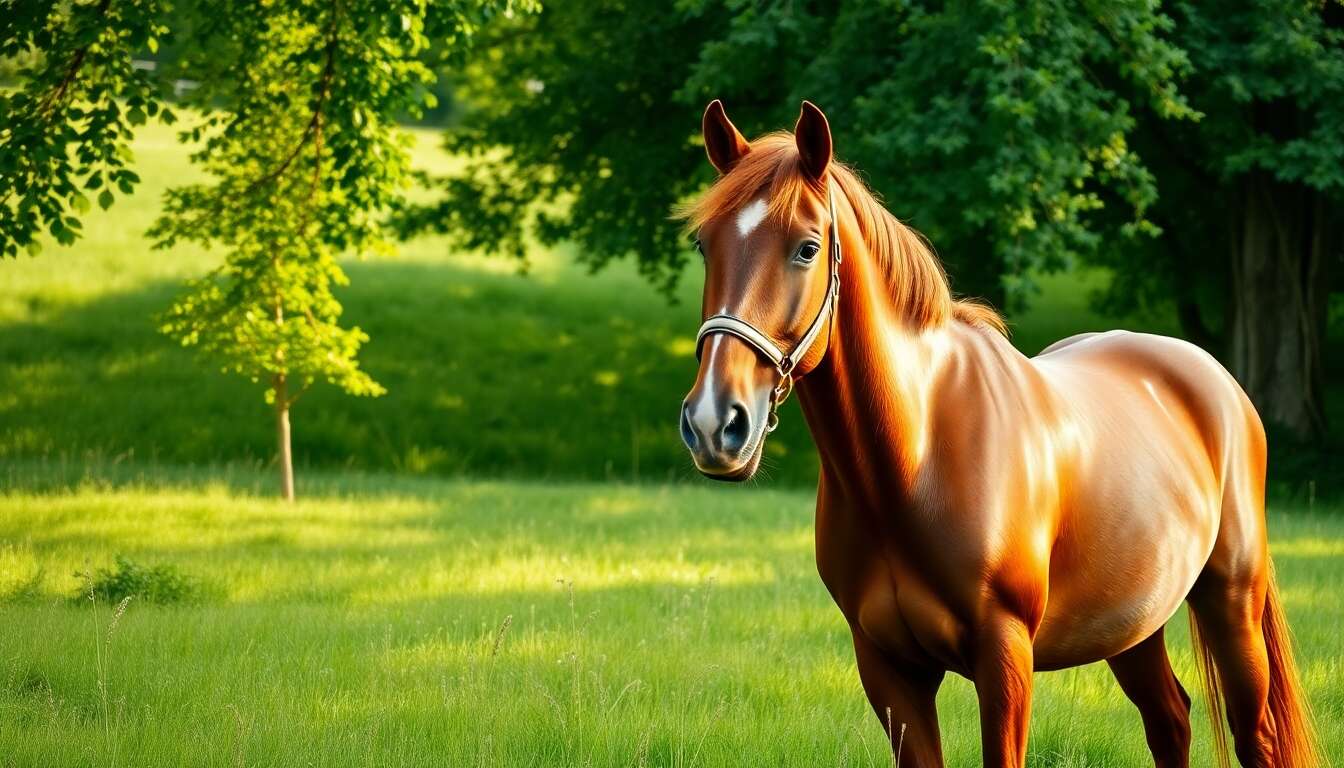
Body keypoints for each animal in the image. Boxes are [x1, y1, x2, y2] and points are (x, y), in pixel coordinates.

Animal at [676, 100, 1317, 768]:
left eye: (806, 248)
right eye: (704, 244)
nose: (715, 421)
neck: (917, 455)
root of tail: (1215, 380)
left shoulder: (1004, 655)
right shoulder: (888, 670)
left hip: (1232, 603)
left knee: (1255, 736)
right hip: (1132, 622)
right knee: (1170, 719)